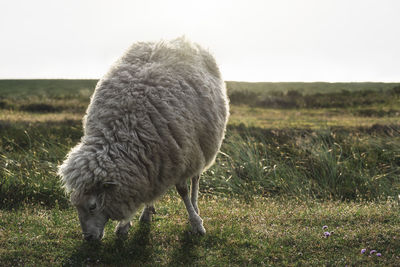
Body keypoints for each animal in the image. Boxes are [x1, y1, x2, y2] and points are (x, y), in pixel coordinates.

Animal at [57, 37, 230, 241]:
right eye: (75, 204)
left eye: (92, 206)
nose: (88, 239)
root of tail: (178, 39)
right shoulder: (151, 161)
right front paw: (124, 225)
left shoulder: (183, 153)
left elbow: (183, 191)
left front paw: (196, 223)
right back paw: (147, 212)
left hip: (203, 145)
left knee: (195, 179)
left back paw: (195, 207)